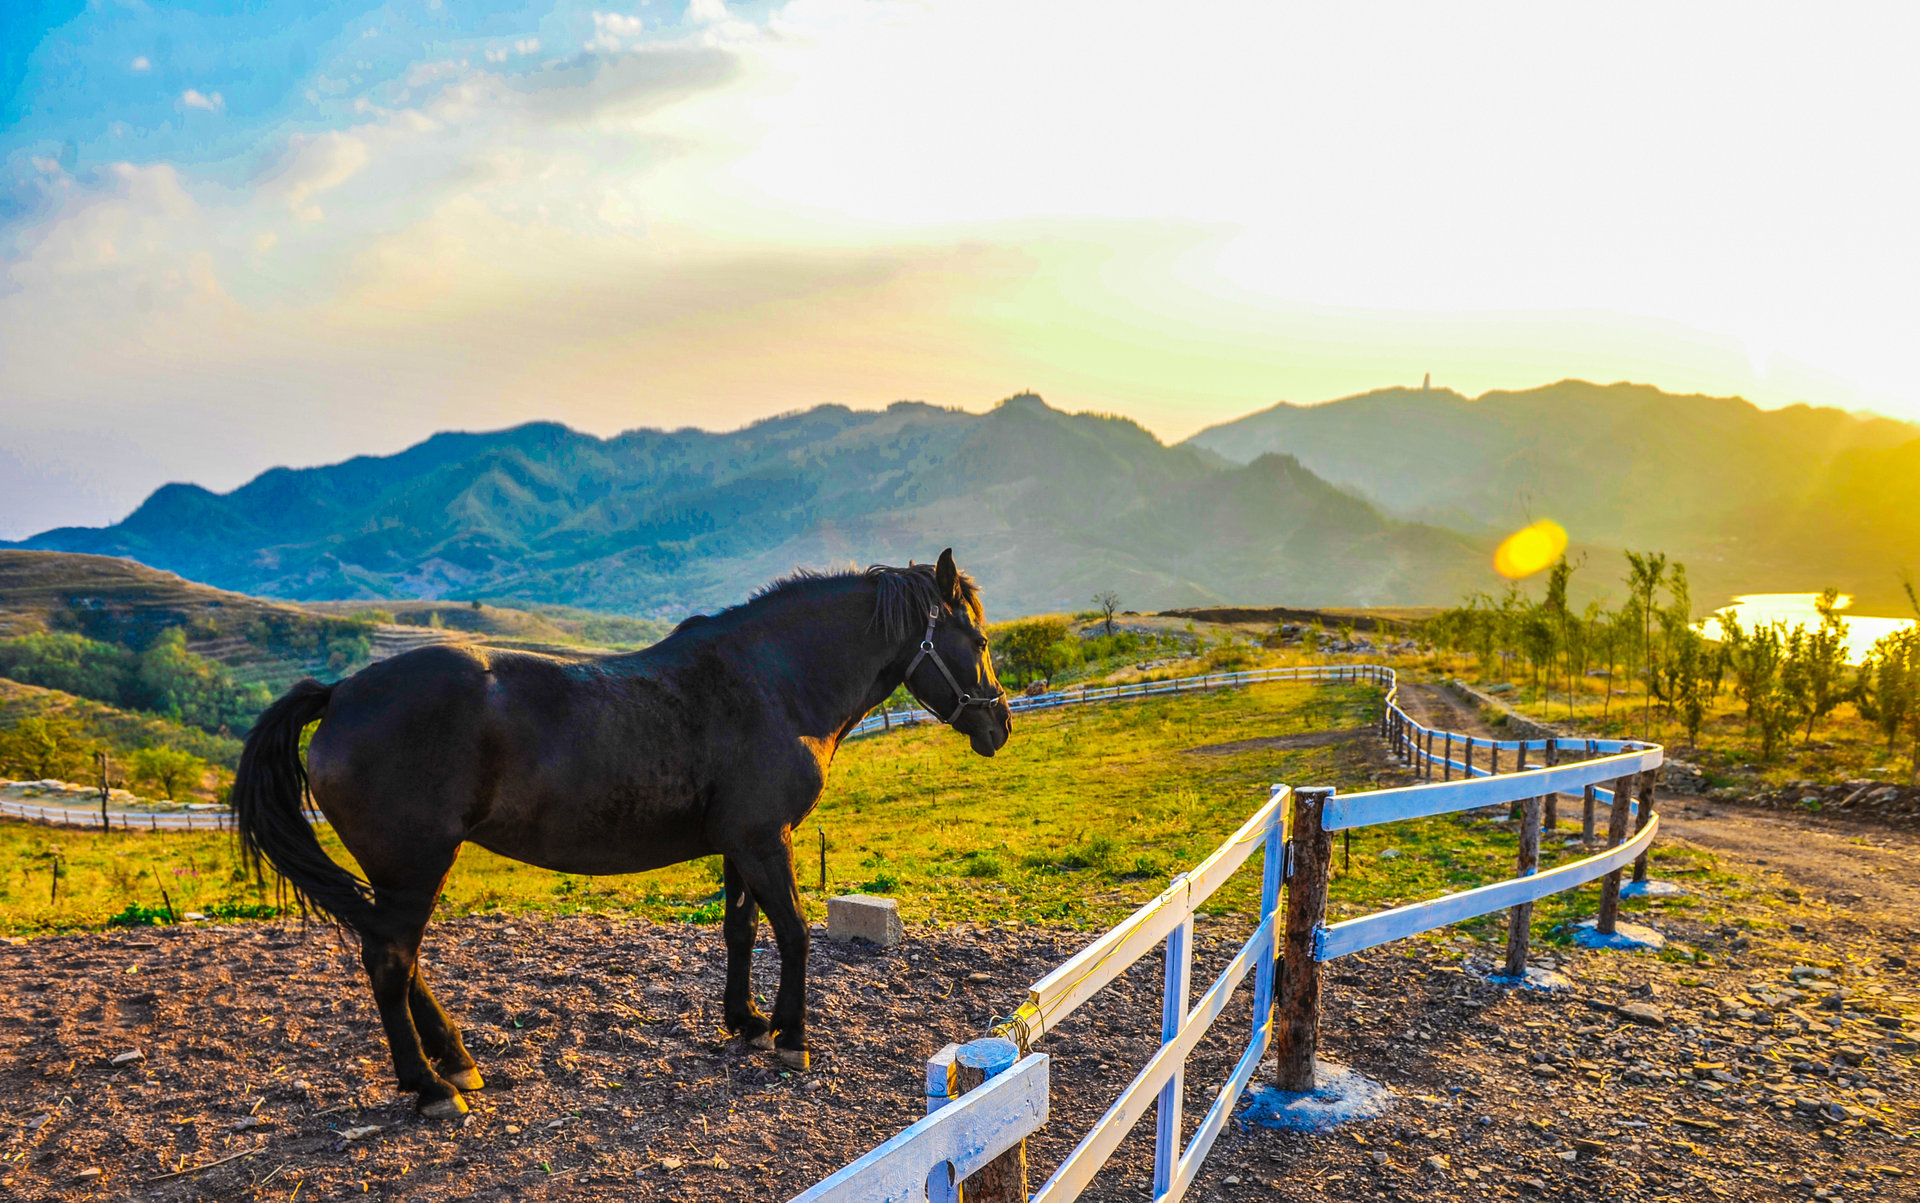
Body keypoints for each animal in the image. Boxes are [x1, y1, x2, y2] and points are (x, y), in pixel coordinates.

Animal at [228, 552, 1006, 1120]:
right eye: (979, 640)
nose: (998, 723)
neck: (773, 683)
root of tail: (340, 694)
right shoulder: (765, 839)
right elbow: (792, 931)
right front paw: (792, 1036)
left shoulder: (739, 844)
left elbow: (741, 930)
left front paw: (746, 1020)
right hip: (414, 868)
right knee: (390, 962)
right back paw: (431, 1086)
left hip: (400, 877)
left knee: (399, 958)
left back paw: (456, 1059)